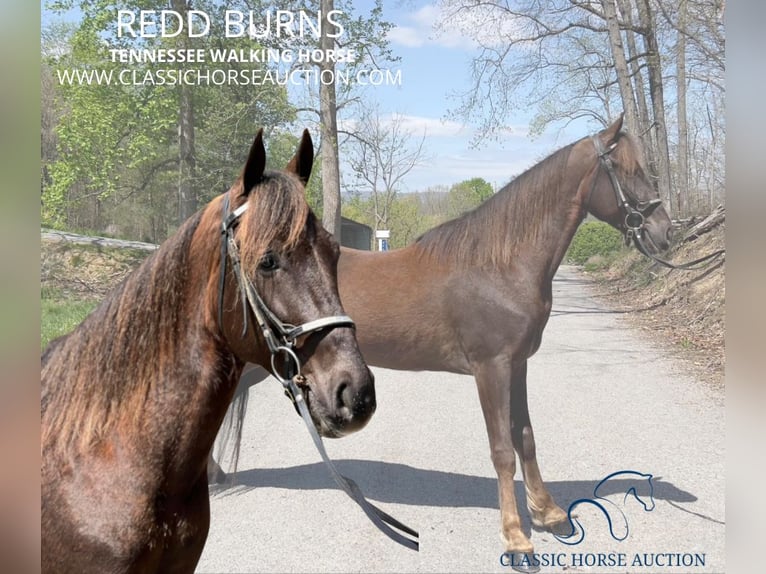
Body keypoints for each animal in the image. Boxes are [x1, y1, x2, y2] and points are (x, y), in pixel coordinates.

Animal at [210, 117, 672, 572]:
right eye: (629, 170)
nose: (664, 231)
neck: (499, 265)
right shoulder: (491, 368)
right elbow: (502, 450)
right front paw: (517, 540)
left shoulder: (517, 364)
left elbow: (524, 437)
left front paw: (549, 513)